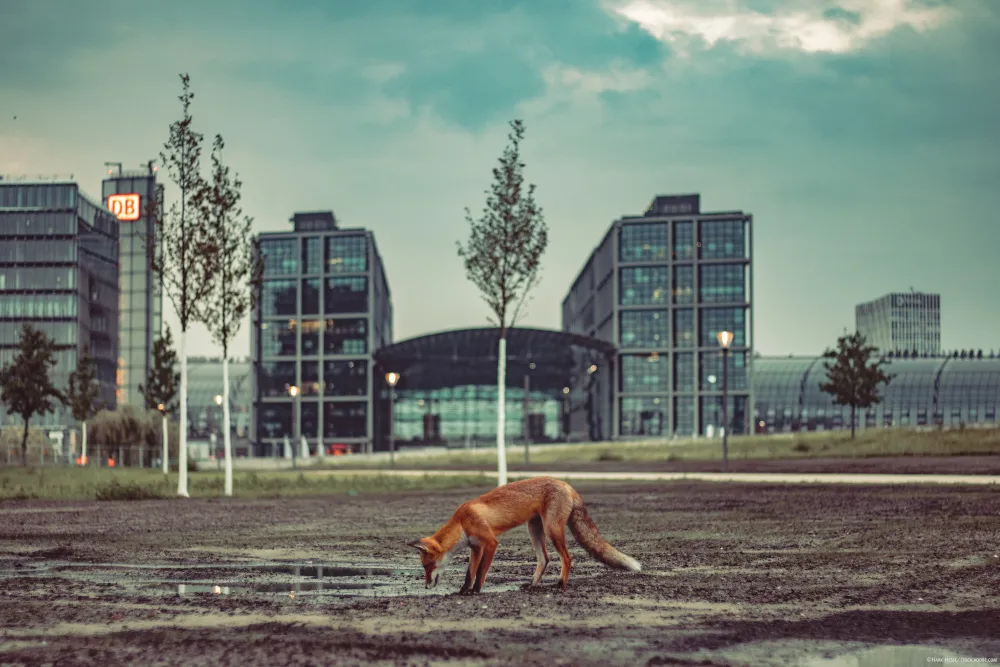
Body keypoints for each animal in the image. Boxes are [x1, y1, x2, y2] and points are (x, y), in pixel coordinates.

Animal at [408, 476, 641, 594]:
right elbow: (469, 572)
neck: (462, 522)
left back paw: (560, 585)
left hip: (552, 530)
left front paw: (476, 591)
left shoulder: (490, 543)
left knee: (567, 558)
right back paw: (532, 585)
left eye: (427, 566)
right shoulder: (475, 548)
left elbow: (480, 572)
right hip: (534, 530)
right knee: (544, 559)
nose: (426, 586)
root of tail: (566, 484)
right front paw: (464, 590)